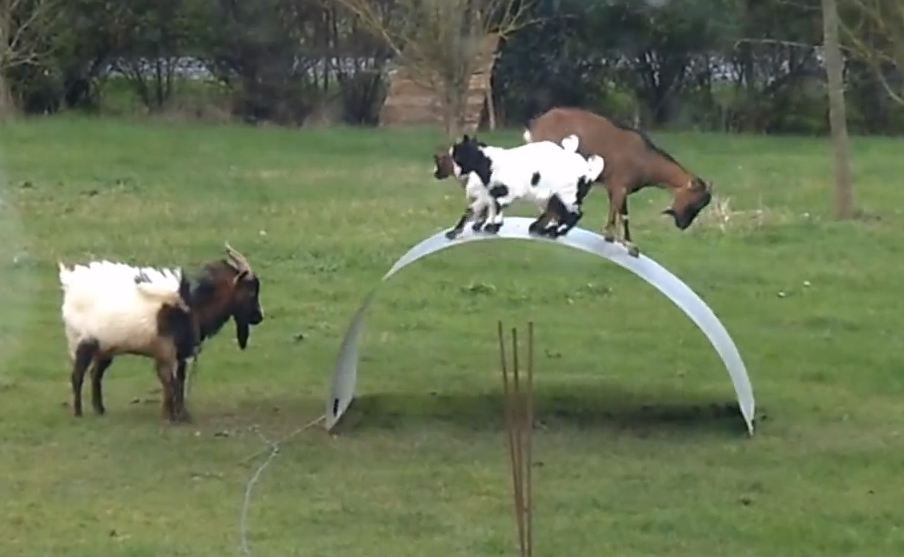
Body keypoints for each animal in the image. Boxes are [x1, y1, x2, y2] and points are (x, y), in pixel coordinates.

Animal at [58, 243, 264, 422]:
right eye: (250, 291)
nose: (259, 317)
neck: (192, 308)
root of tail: (70, 285)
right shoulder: (165, 350)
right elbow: (169, 381)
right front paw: (169, 416)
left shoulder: (180, 354)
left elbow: (179, 381)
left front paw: (182, 414)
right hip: (84, 342)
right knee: (77, 375)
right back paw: (78, 413)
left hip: (106, 347)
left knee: (96, 374)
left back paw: (99, 410)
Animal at [438, 134, 605, 239]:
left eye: (457, 156)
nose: (456, 172)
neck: (489, 163)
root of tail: (589, 172)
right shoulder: (490, 193)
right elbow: (480, 209)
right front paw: (456, 232)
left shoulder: (505, 192)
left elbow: (497, 207)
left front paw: (493, 227)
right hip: (557, 197)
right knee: (558, 212)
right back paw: (543, 230)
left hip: (567, 195)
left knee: (574, 214)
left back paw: (555, 232)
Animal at [523, 107, 713, 256]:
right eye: (694, 202)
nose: (683, 225)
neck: (646, 160)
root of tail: (536, 124)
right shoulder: (621, 185)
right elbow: (624, 214)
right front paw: (630, 245)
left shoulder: (613, 187)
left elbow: (613, 210)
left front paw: (609, 235)